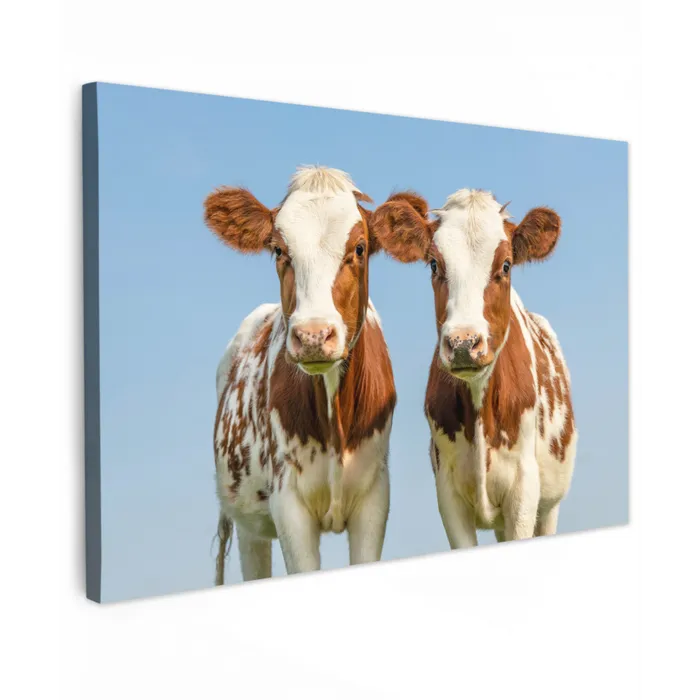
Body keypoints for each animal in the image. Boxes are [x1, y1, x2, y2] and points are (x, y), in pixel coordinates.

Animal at [204, 166, 399, 582]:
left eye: (359, 248)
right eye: (279, 250)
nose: (313, 335)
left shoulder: (374, 497)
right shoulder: (288, 504)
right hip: (248, 524)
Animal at [370, 189, 577, 546]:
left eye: (506, 264)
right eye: (434, 263)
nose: (464, 343)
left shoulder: (524, 492)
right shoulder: (448, 493)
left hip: (550, 504)